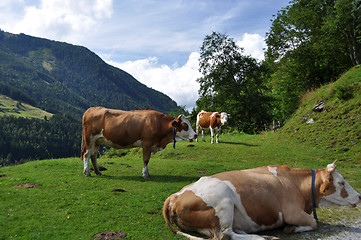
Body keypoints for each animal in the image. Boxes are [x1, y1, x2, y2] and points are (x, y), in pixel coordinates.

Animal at [163, 160, 360, 239]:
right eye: (341, 182)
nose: (359, 196)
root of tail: (175, 195)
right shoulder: (292, 212)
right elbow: (313, 223)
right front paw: (290, 228)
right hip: (224, 202)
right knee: (224, 235)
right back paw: (264, 238)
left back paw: (265, 235)